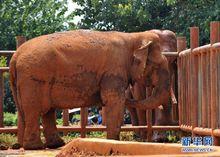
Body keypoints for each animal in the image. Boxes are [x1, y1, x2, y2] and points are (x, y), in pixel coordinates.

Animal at [9, 29, 169, 150]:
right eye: (157, 66)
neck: (134, 36)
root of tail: (14, 57)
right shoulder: (113, 71)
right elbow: (114, 101)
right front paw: (113, 141)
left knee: (47, 111)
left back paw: (55, 145)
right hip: (33, 80)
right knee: (35, 111)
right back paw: (35, 147)